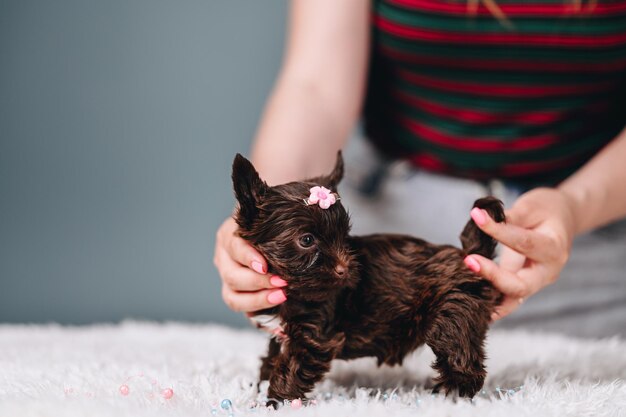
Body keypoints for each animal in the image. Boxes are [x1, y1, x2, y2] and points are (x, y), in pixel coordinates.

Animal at [232, 152, 504, 404]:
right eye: (307, 240)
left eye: (343, 236)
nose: (345, 269)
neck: (292, 291)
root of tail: (469, 255)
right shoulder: (281, 335)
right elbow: (272, 358)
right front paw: (259, 386)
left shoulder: (312, 339)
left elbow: (290, 368)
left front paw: (276, 402)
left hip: (452, 317)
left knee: (462, 359)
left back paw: (451, 395)